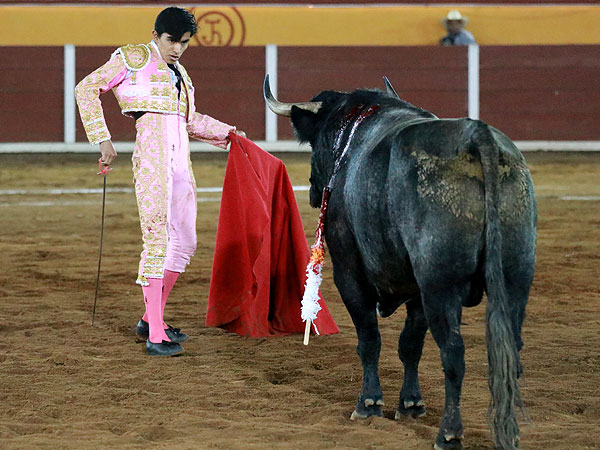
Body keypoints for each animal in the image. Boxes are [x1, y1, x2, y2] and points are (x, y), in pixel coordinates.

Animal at [264, 74, 536, 450]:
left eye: (316, 141)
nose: (314, 191)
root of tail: (477, 137)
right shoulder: (416, 289)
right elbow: (410, 344)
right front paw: (410, 404)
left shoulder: (350, 274)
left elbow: (369, 339)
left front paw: (368, 404)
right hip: (515, 276)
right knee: (512, 352)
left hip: (440, 284)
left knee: (453, 353)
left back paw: (449, 433)